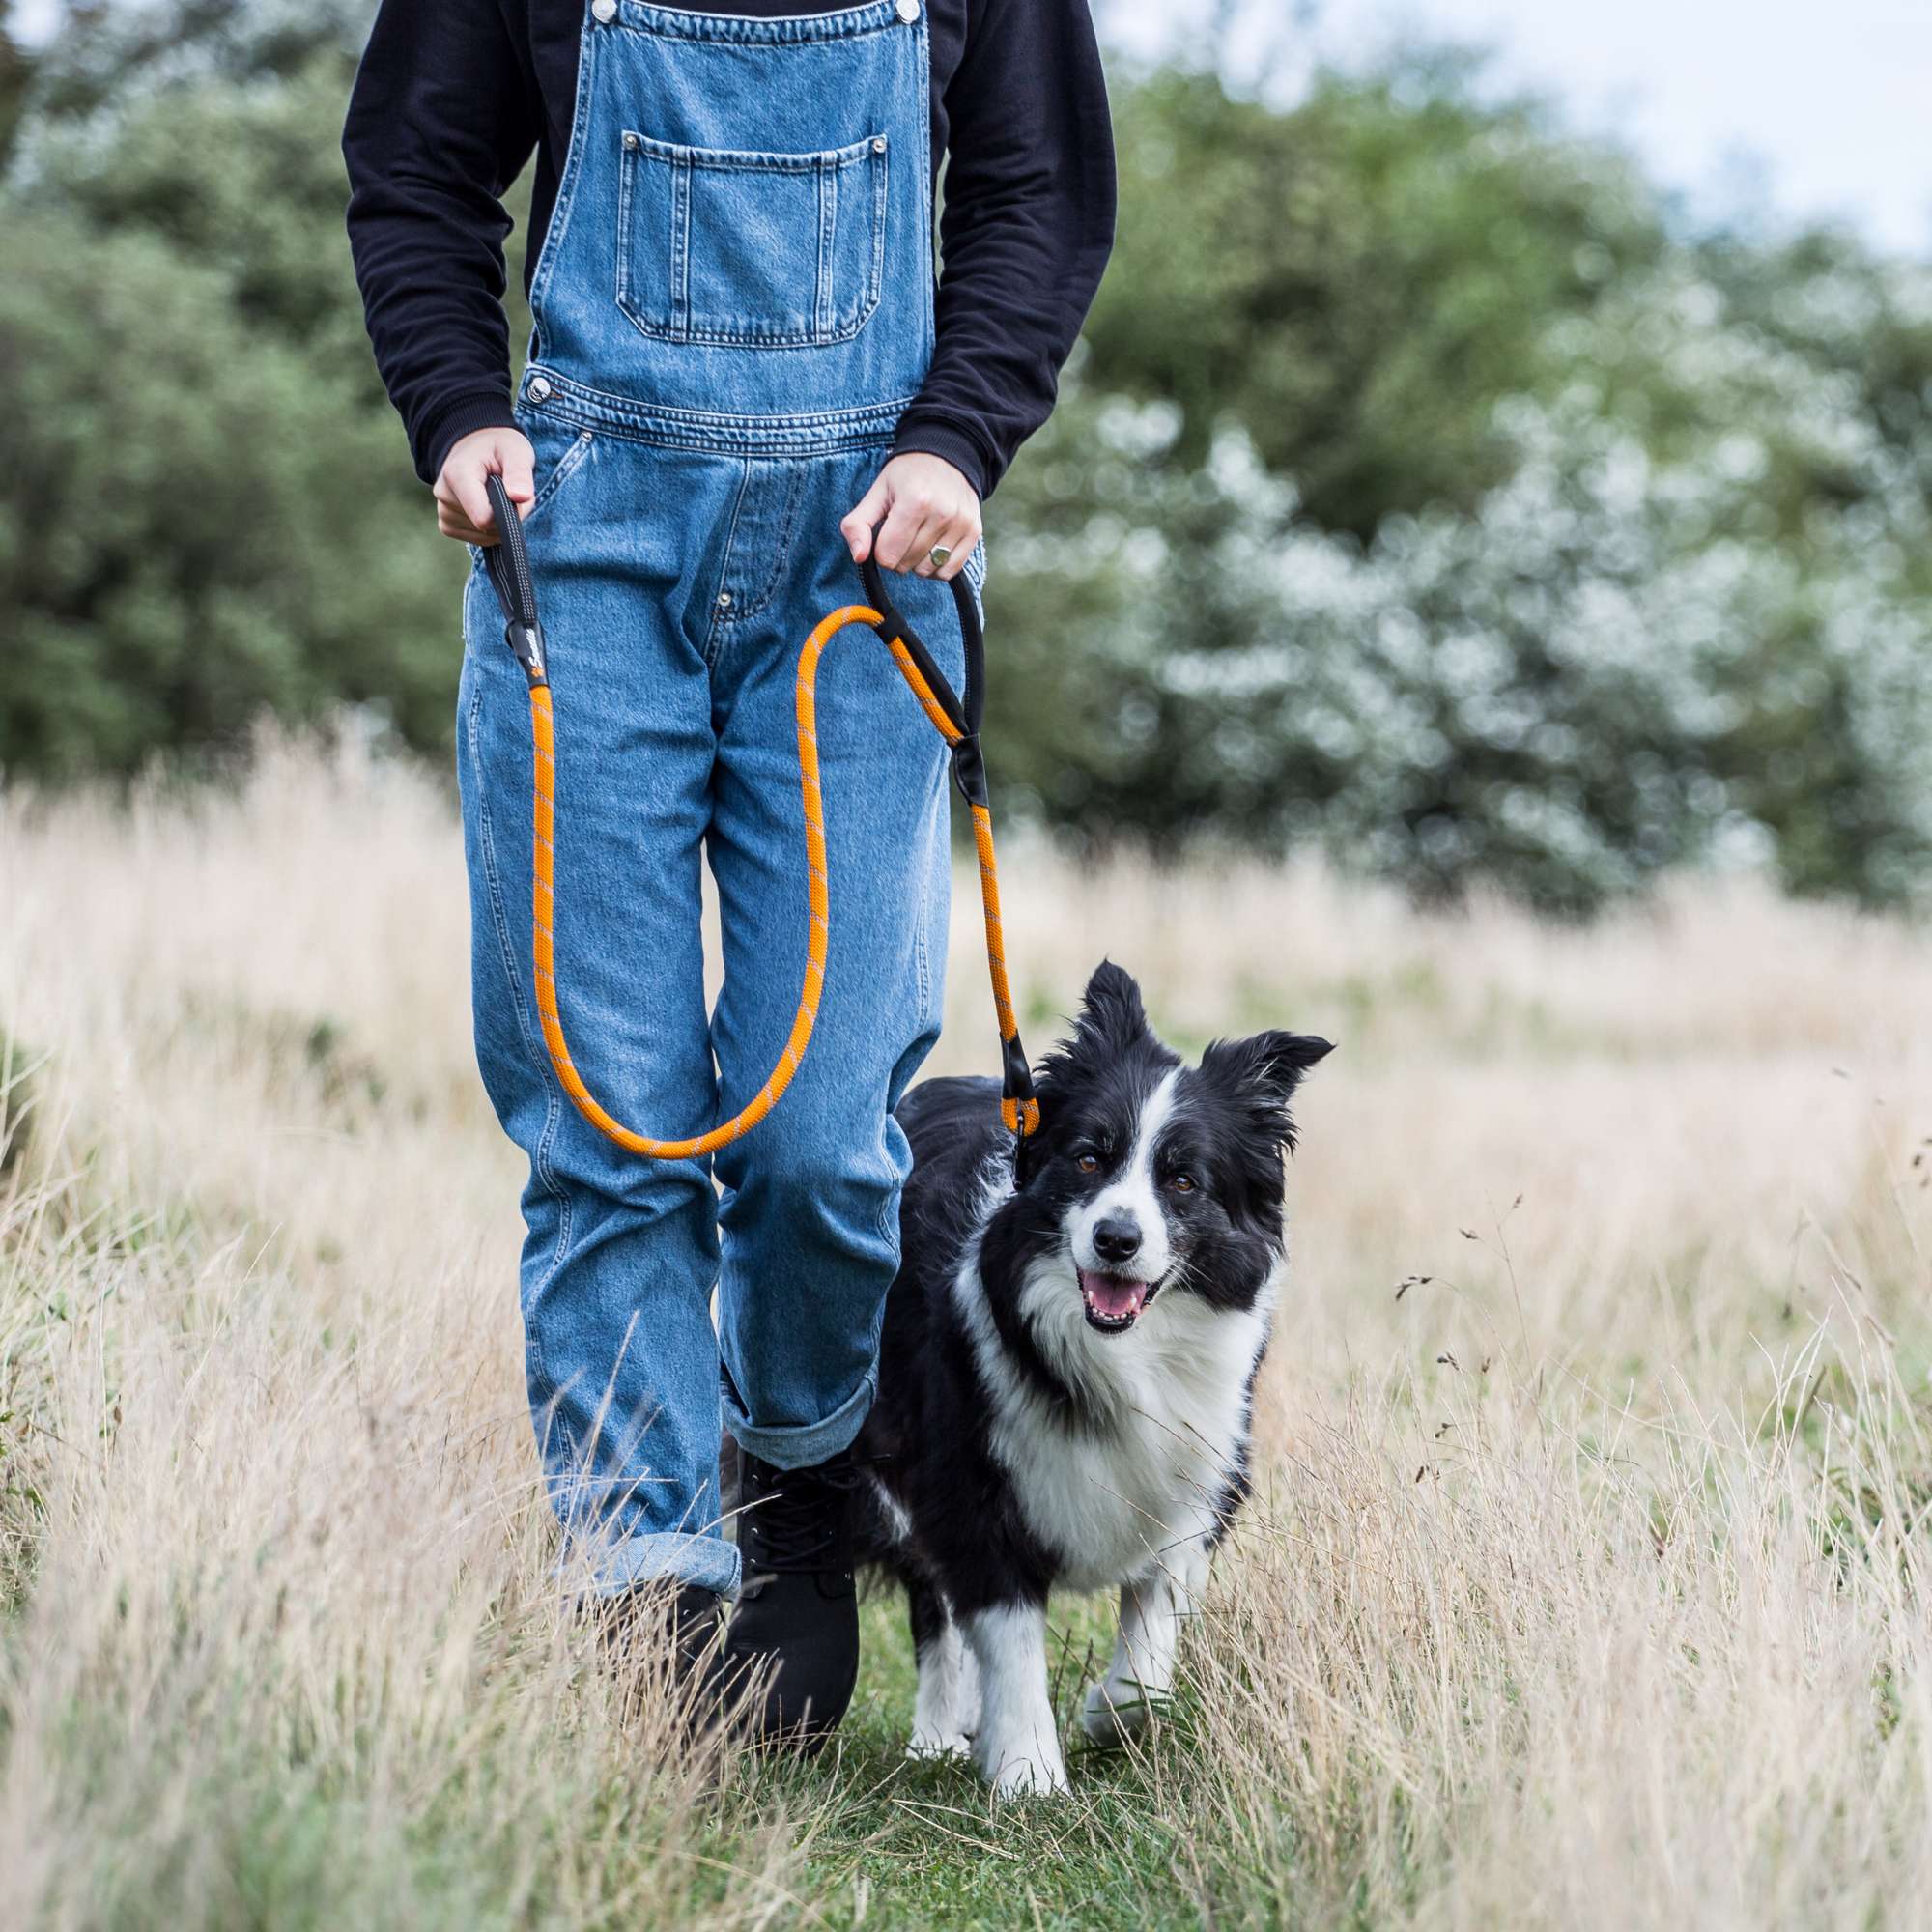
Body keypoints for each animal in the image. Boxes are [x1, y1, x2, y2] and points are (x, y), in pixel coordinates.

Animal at [858, 966, 1329, 1793]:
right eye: (1087, 1159)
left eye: (1183, 1180)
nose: (1116, 1238)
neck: (1120, 1351)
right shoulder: (968, 1475)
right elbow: (1007, 1631)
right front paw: (1028, 1773)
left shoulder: (1201, 1465)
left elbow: (1156, 1610)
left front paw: (1114, 1712)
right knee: (932, 1598)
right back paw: (939, 1733)